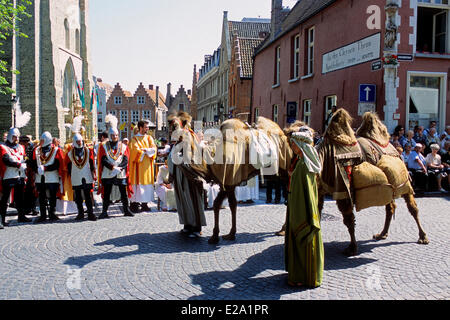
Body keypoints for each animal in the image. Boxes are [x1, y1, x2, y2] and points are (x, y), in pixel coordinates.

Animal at [167, 112, 294, 245]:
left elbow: (230, 204)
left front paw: (224, 235)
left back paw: (283, 230)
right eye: (170, 125)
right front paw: (220, 235)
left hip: (286, 171)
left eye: (176, 125)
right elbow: (220, 204)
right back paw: (282, 229)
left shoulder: (229, 180)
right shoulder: (226, 183)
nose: (172, 139)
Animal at [314, 109, 430, 256]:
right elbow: (317, 212)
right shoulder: (321, 188)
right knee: (390, 207)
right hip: (388, 186)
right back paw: (382, 234)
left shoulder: (342, 189)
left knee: (412, 207)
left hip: (404, 182)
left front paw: (352, 248)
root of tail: (394, 147)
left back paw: (423, 237)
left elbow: (349, 220)